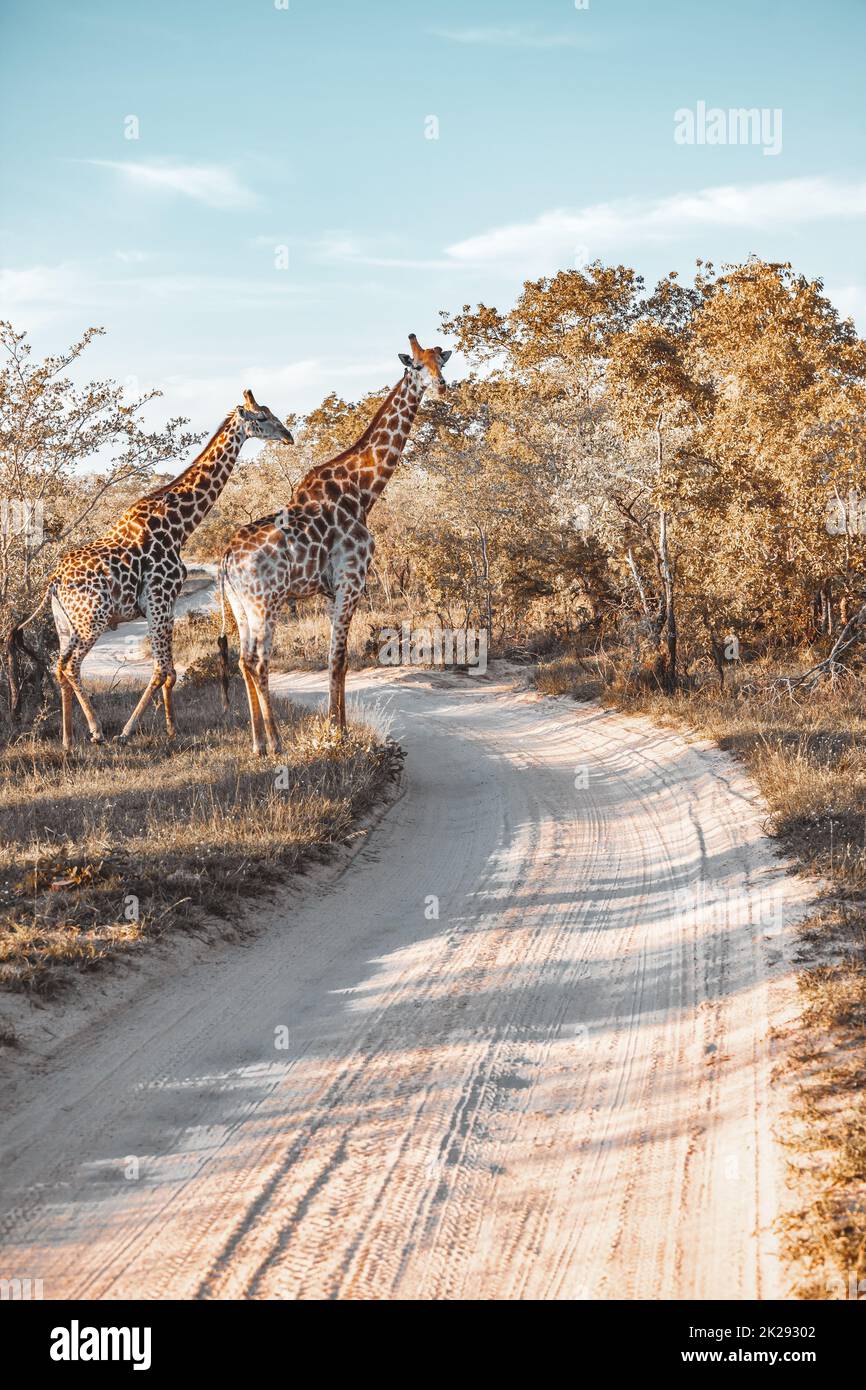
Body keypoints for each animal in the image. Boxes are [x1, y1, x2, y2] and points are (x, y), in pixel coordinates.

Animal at [14, 391, 293, 750]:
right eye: (261, 418)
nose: (287, 435)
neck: (179, 525)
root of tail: (54, 580)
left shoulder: (161, 604)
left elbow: (170, 671)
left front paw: (172, 728)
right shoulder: (161, 599)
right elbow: (162, 670)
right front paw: (129, 730)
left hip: (65, 623)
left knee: (61, 666)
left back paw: (67, 738)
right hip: (93, 619)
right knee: (72, 665)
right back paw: (96, 731)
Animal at [218, 335, 451, 753]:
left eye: (441, 362)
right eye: (416, 366)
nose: (442, 387)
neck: (362, 491)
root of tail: (226, 559)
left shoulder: (330, 591)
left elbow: (336, 659)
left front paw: (337, 727)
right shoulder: (351, 581)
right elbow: (340, 659)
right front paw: (336, 733)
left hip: (240, 605)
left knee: (243, 660)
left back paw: (258, 743)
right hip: (266, 602)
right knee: (258, 661)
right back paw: (277, 742)